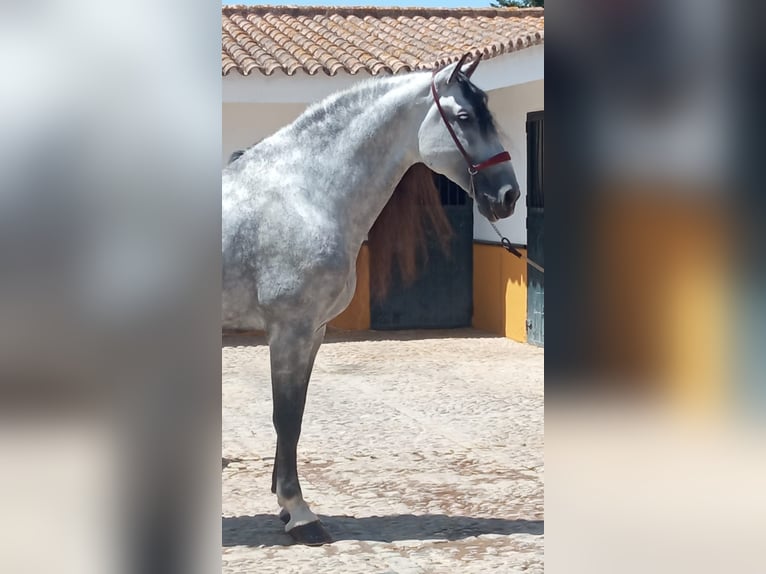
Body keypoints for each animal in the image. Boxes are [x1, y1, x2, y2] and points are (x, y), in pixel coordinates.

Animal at [222, 56, 520, 548]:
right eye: (463, 117)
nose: (508, 195)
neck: (304, 195)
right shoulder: (290, 330)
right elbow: (286, 417)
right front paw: (300, 514)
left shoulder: (313, 333)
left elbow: (295, 417)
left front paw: (285, 507)